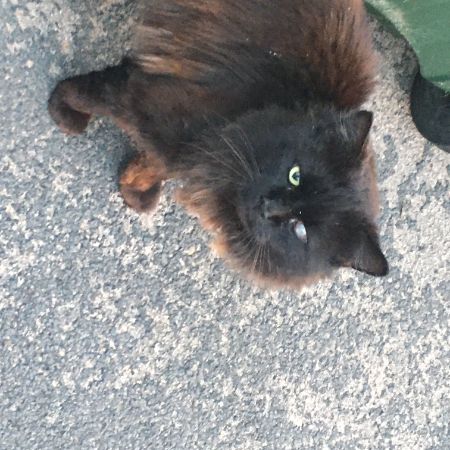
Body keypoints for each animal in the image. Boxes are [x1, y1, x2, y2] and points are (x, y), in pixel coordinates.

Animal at [48, 0, 388, 289]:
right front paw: (65, 114)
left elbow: (156, 164)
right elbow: (88, 92)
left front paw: (135, 186)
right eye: (295, 175)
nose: (268, 207)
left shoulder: (179, 144)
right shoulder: (151, 101)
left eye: (300, 230)